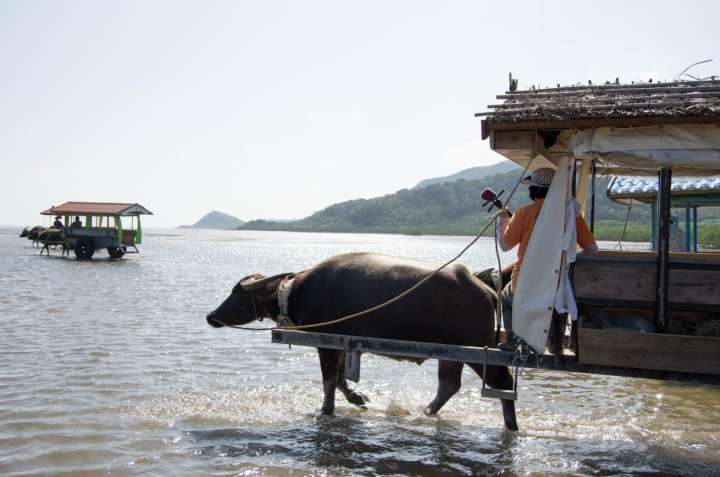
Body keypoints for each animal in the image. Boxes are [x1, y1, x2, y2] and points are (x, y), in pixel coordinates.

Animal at [207, 252, 519, 430]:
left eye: (236, 292)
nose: (211, 316)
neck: (295, 292)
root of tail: (487, 291)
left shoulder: (327, 342)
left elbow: (329, 381)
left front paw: (327, 410)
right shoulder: (340, 344)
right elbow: (340, 379)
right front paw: (359, 399)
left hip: (477, 351)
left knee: (502, 384)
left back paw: (511, 425)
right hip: (452, 354)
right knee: (449, 385)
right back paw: (425, 412)